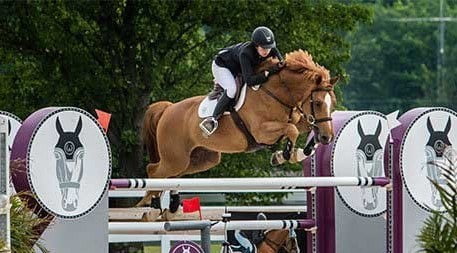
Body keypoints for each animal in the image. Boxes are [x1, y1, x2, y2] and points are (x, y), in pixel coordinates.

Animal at [137, 50, 336, 208]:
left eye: (331, 103)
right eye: (318, 103)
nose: (328, 137)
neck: (276, 93)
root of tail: (167, 109)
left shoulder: (298, 121)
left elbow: (303, 128)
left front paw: (299, 152)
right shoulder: (262, 131)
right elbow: (291, 130)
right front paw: (285, 155)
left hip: (201, 159)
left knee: (171, 175)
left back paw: (167, 203)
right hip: (175, 159)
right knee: (153, 170)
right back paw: (148, 203)